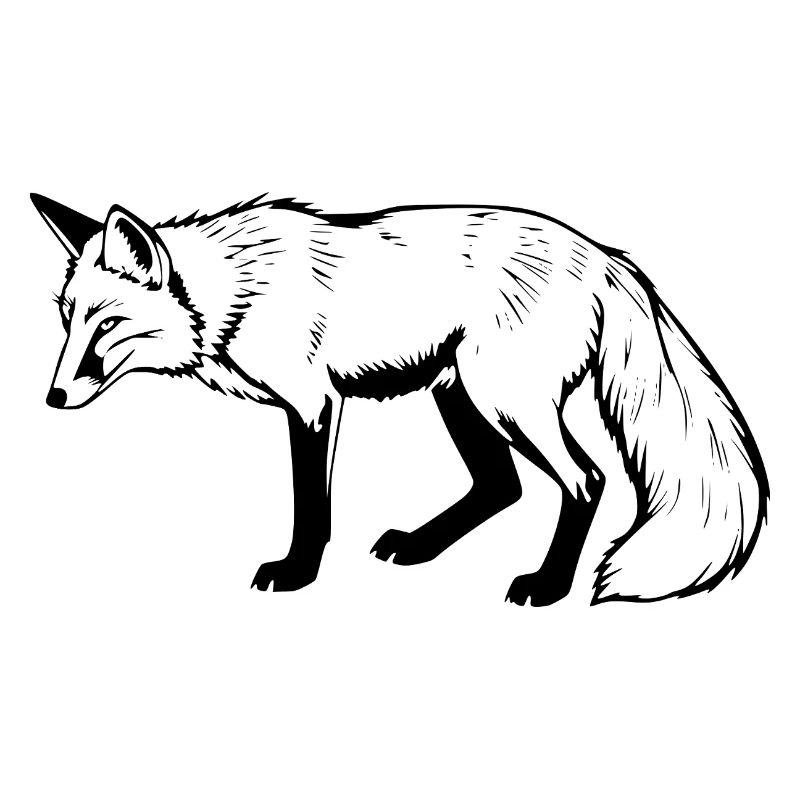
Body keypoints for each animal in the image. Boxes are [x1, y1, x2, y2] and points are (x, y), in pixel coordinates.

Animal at [31, 192, 769, 605]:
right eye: (67, 320)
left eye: (107, 324)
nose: (53, 396)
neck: (239, 298)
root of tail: (606, 255)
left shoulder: (313, 405)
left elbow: (312, 506)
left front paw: (297, 574)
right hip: (462, 398)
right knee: (501, 485)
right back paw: (418, 548)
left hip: (504, 403)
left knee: (586, 480)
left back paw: (549, 586)